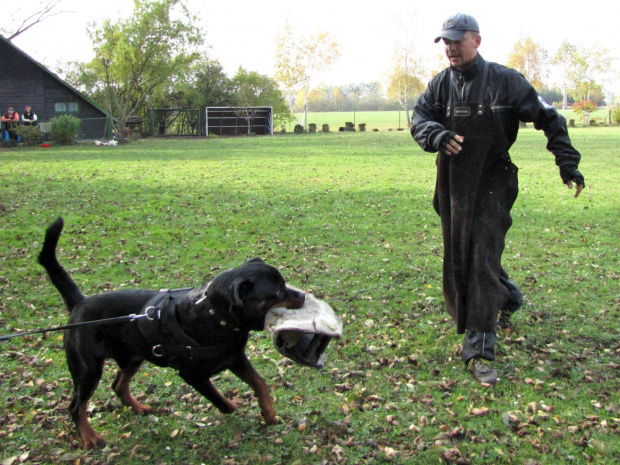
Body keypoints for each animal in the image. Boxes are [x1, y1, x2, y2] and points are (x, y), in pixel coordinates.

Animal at [37, 219, 306, 448]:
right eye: (277, 292)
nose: (303, 295)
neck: (215, 316)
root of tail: (79, 303)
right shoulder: (191, 374)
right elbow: (219, 398)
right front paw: (233, 406)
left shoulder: (235, 357)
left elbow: (259, 383)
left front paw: (268, 413)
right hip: (88, 369)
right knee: (76, 406)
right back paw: (90, 437)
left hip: (134, 356)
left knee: (118, 385)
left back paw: (139, 408)